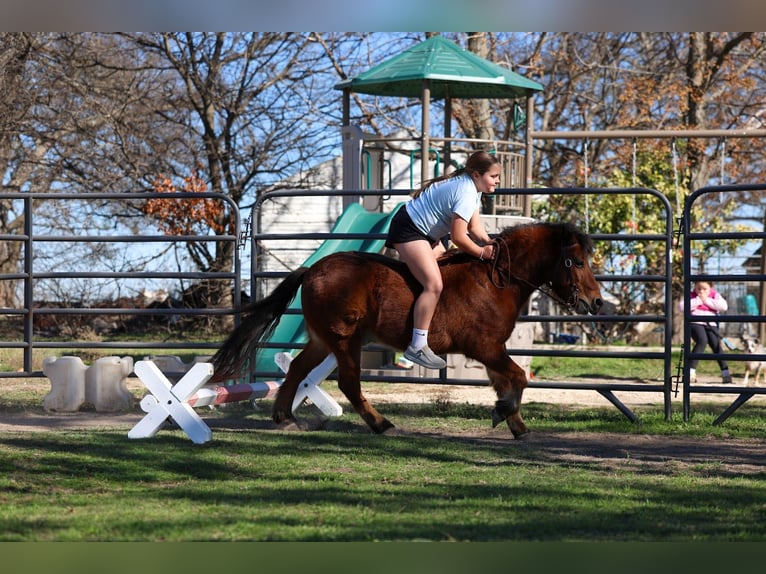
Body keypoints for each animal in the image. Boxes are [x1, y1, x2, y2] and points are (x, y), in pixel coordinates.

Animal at [211, 221, 603, 438]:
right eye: (576, 261)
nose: (597, 302)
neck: (497, 280)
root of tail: (313, 270)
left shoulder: (493, 351)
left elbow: (508, 382)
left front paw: (515, 423)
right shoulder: (485, 347)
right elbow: (518, 378)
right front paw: (503, 413)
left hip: (324, 340)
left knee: (295, 369)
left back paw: (285, 418)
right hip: (346, 340)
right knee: (349, 383)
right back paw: (380, 424)